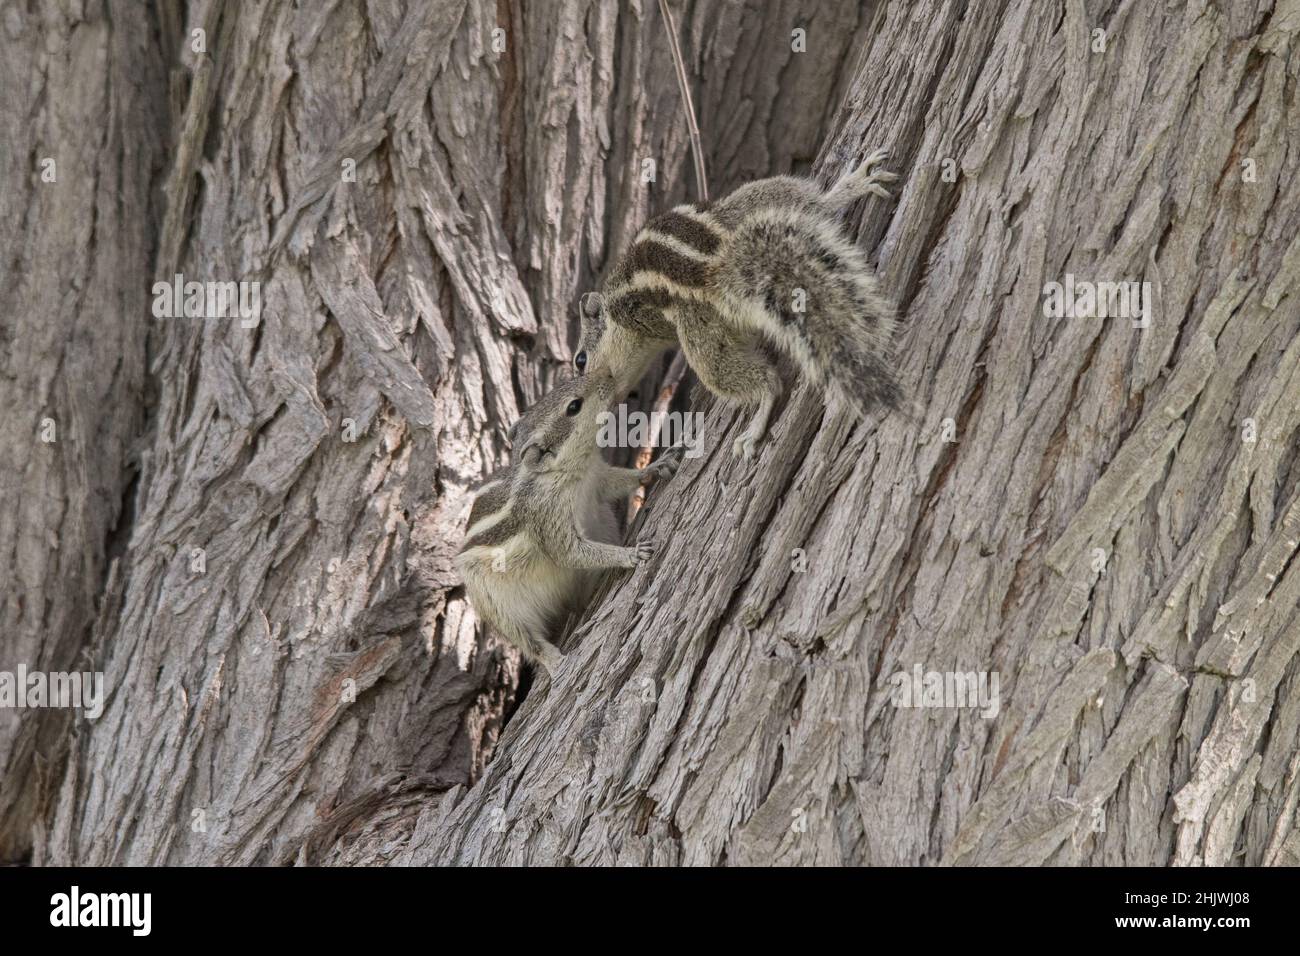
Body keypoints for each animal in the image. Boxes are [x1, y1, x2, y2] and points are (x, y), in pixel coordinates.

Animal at [454, 369, 676, 676]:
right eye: (574, 406)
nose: (607, 375)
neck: (571, 472)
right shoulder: (548, 518)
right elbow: (569, 552)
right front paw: (630, 554)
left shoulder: (599, 479)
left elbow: (619, 481)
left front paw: (654, 468)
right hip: (497, 606)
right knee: (528, 642)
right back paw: (555, 661)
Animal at [574, 148, 899, 460]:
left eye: (580, 361)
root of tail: (719, 261)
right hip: (755, 201)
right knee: (810, 206)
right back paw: (849, 189)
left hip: (701, 331)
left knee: (748, 377)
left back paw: (754, 428)